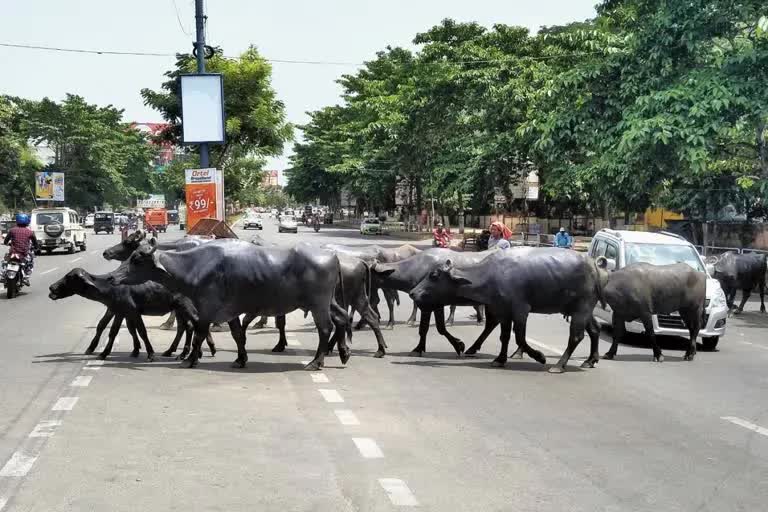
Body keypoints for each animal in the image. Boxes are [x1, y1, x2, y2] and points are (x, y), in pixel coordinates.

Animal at [111, 238, 352, 370]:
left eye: (137, 259)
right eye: (131, 255)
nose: (112, 277)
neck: (195, 266)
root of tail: (332, 255)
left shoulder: (207, 309)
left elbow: (199, 334)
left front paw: (190, 359)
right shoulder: (231, 312)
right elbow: (238, 335)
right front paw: (240, 359)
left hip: (318, 304)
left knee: (325, 327)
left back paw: (316, 362)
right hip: (328, 302)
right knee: (342, 318)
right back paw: (344, 353)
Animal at [408, 248, 608, 372]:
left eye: (434, 276)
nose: (413, 293)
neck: (491, 274)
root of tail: (594, 266)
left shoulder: (521, 309)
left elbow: (519, 337)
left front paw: (539, 356)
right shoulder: (503, 311)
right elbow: (504, 336)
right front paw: (500, 359)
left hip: (581, 308)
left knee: (576, 337)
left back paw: (558, 365)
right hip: (582, 309)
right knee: (594, 329)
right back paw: (590, 360)